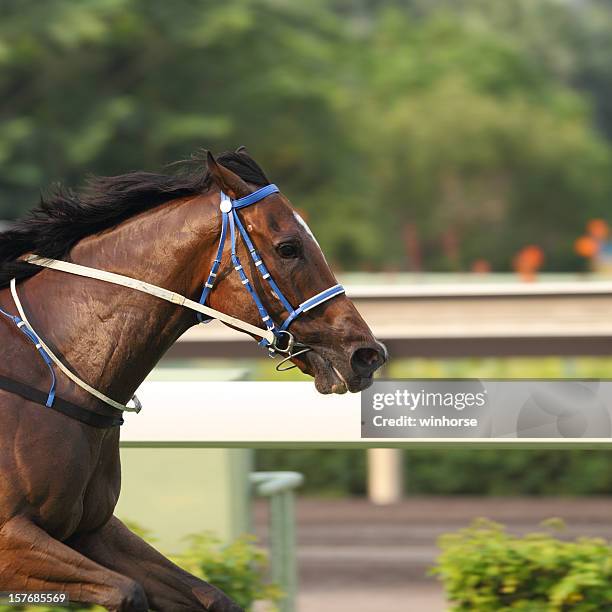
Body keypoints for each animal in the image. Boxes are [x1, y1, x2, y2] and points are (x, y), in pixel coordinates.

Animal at [0, 149, 384, 612]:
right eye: (289, 247)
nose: (366, 354)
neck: (48, 373)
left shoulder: (89, 528)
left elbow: (211, 596)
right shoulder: (12, 539)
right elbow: (127, 591)